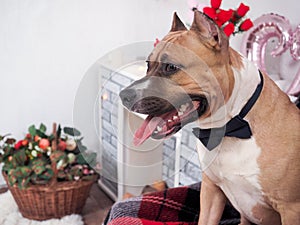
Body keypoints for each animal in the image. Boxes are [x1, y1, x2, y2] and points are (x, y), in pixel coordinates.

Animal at [118, 10, 298, 225]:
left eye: (170, 67)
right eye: (147, 64)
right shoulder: (211, 190)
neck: (232, 127)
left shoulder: (291, 208)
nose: (123, 95)